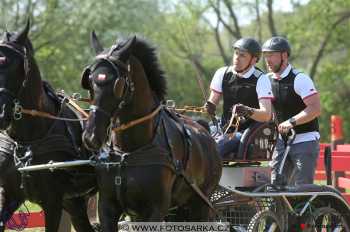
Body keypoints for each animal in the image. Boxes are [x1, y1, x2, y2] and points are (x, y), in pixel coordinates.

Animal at [80, 32, 220, 230]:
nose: (91, 136)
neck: (128, 152)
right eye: (90, 82)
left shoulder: (155, 209)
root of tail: (206, 133)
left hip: (200, 204)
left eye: (117, 85)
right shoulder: (107, 207)